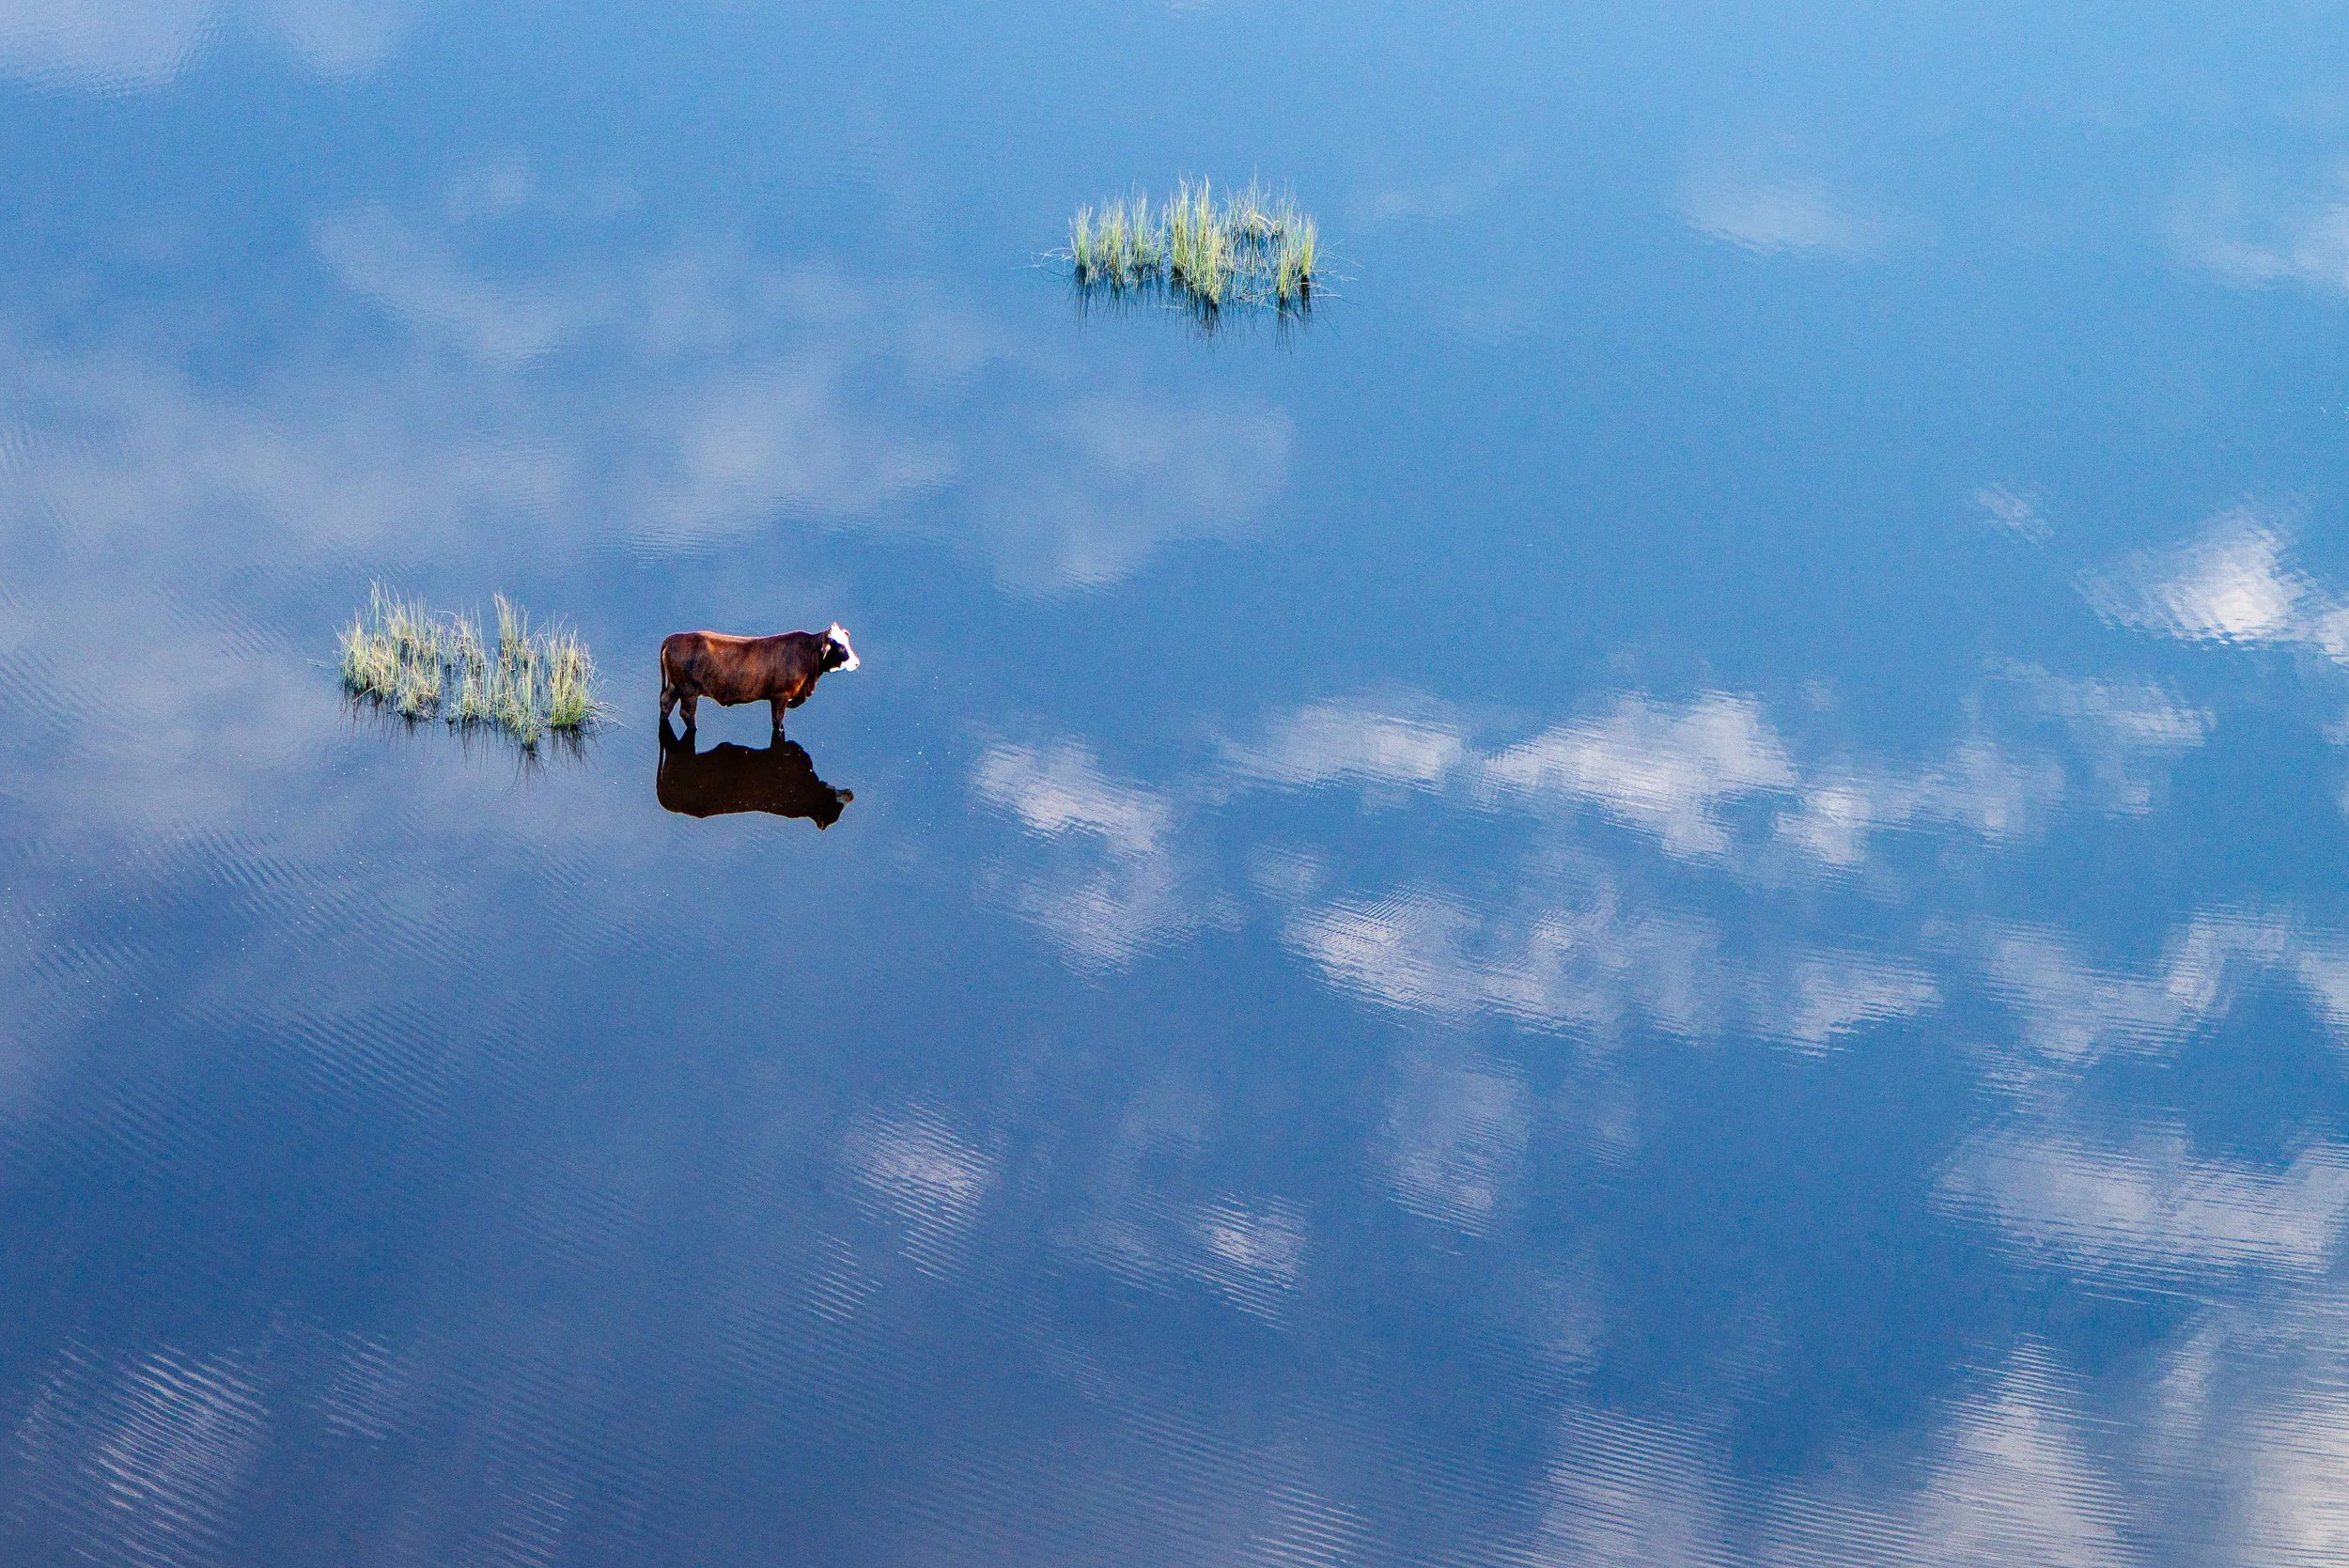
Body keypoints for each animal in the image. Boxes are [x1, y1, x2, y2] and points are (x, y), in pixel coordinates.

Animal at [659, 622, 860, 736]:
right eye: (840, 647)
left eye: (847, 642)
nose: (857, 663)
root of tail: (674, 638)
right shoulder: (780, 695)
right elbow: (777, 721)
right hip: (688, 690)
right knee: (686, 713)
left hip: (676, 685)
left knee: (666, 702)